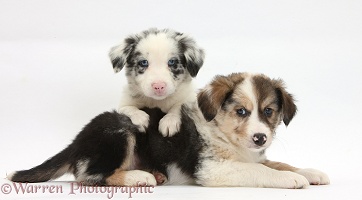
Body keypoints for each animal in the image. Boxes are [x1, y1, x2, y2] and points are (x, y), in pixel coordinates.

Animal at [9, 72, 330, 188]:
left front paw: (310, 172)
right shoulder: (213, 169)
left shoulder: (251, 155)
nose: (260, 137)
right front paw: (291, 179)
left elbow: (277, 162)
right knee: (91, 175)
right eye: (241, 111)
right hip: (120, 130)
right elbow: (261, 170)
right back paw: (139, 177)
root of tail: (77, 141)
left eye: (268, 112)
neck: (225, 135)